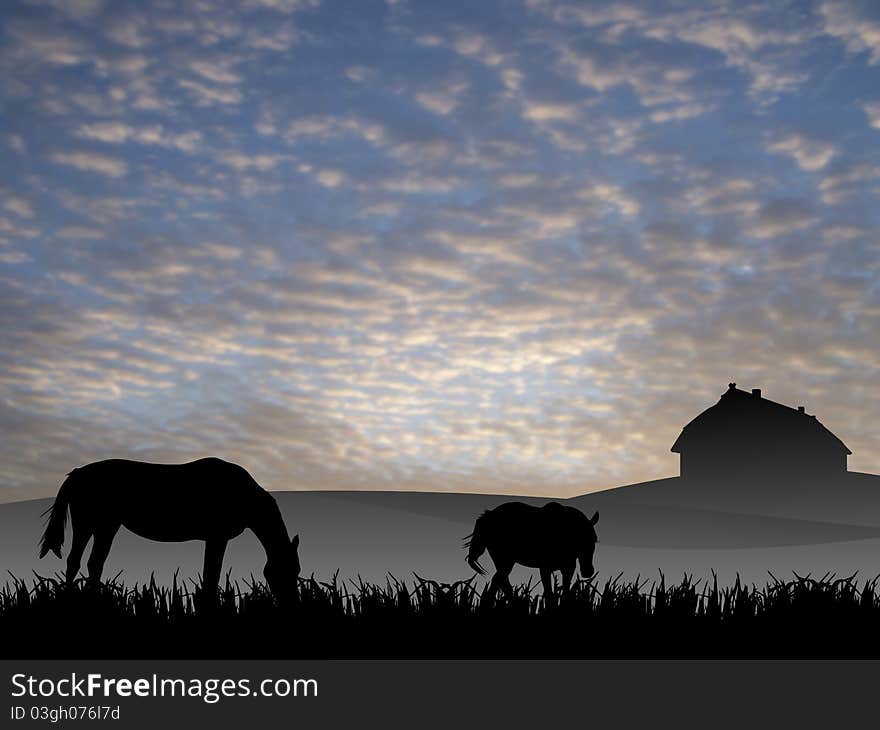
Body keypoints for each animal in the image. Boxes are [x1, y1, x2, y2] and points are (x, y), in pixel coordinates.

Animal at [460, 500, 600, 596]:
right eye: (579, 540)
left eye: (594, 540)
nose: (588, 572)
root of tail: (488, 516)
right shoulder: (545, 568)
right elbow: (549, 593)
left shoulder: (568, 568)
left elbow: (565, 591)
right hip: (505, 561)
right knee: (499, 581)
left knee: (502, 582)